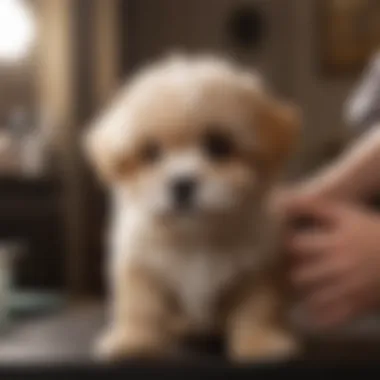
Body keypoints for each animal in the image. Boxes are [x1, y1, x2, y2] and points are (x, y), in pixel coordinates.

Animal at [84, 52, 302, 362]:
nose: (182, 183)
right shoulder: (141, 265)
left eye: (219, 146)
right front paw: (133, 339)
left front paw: (261, 341)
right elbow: (140, 306)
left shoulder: (258, 267)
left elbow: (258, 308)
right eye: (151, 152)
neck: (195, 236)